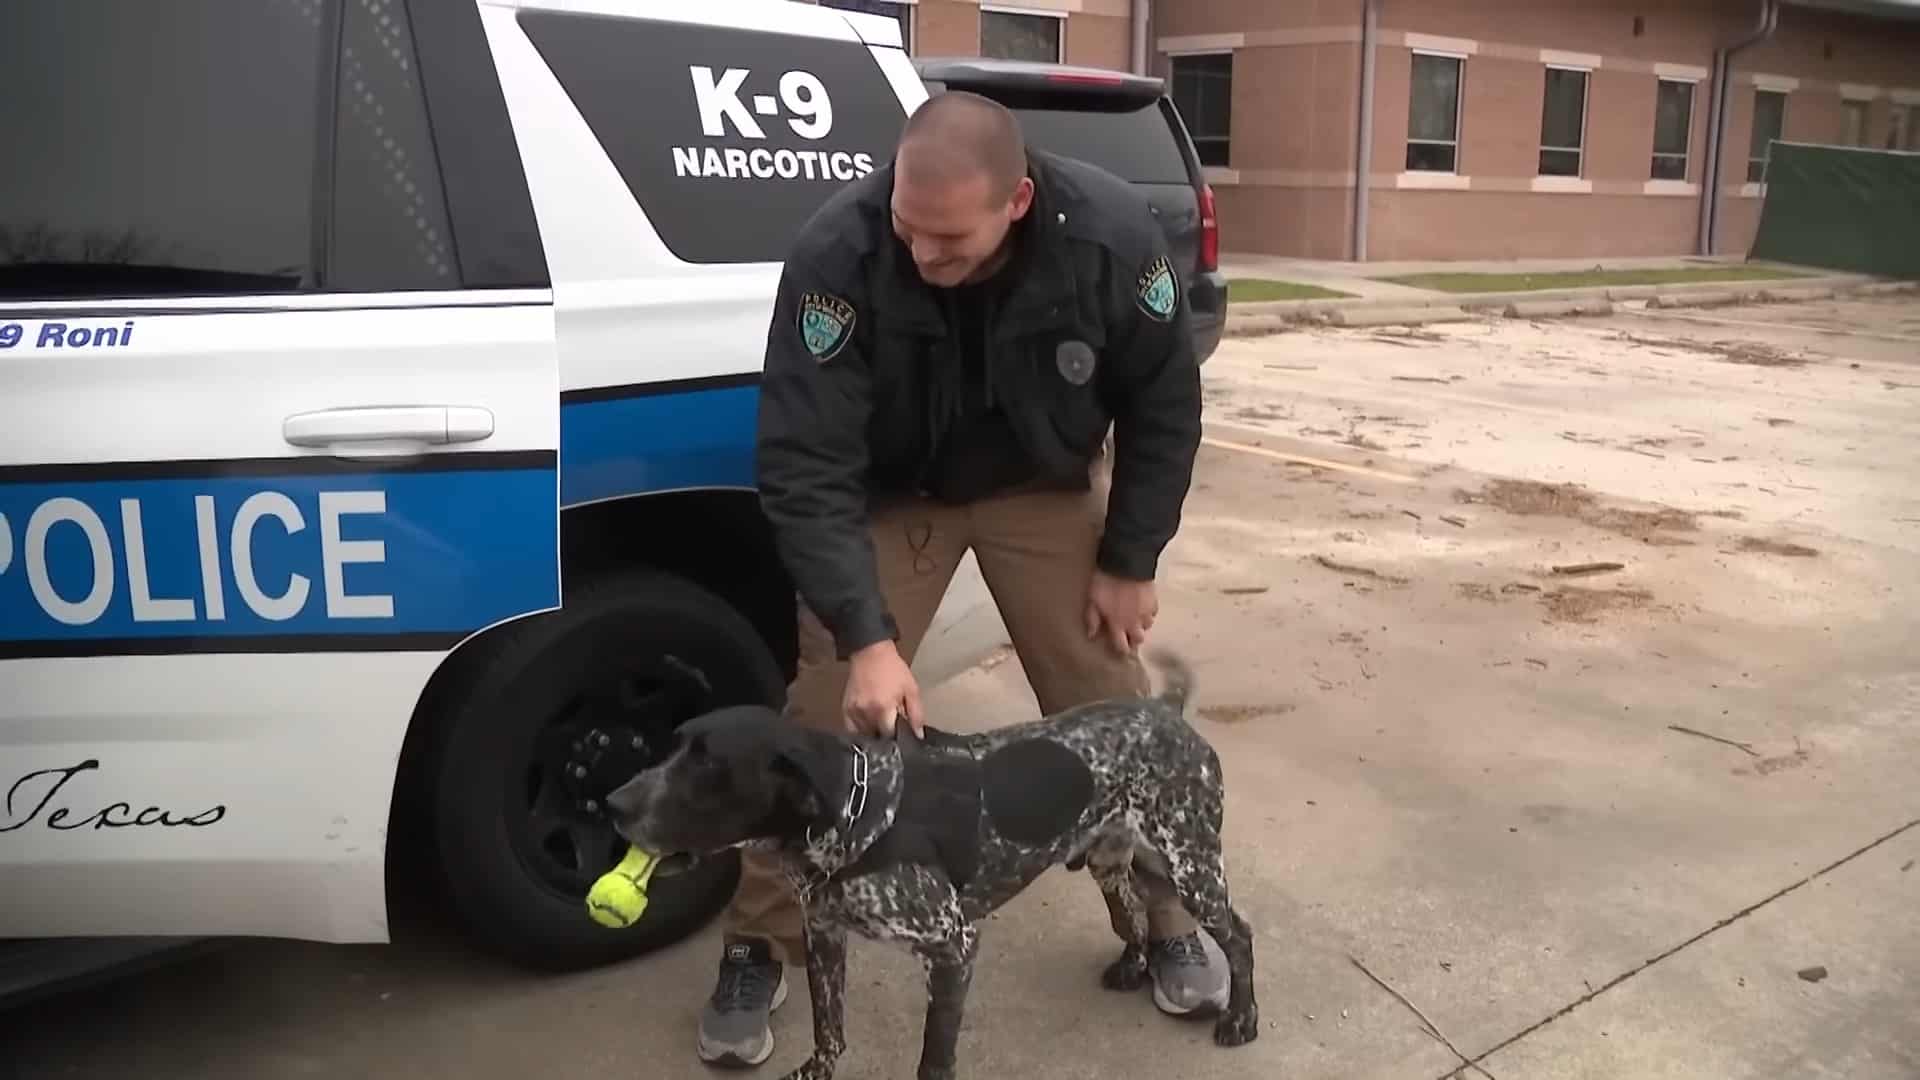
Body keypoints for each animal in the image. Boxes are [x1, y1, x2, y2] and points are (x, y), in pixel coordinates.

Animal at [602, 645, 1259, 1076]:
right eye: (671, 747)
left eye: (709, 767)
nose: (612, 803)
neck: (862, 814)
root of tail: (1167, 710)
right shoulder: (824, 938)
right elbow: (828, 1030)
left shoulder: (953, 949)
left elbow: (933, 1059)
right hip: (1114, 859)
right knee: (1132, 911)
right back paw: (1132, 966)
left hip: (1191, 866)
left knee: (1239, 934)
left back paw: (1240, 1019)